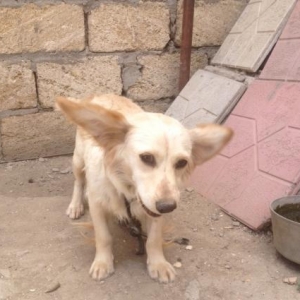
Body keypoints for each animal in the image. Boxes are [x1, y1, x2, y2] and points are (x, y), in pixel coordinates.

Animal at [56, 95, 234, 284]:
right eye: (147, 157)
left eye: (182, 162)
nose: (167, 207)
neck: (125, 187)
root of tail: (103, 95)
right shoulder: (97, 203)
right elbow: (103, 237)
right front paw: (102, 263)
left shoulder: (154, 210)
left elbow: (153, 240)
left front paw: (158, 264)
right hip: (78, 161)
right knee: (78, 182)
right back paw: (75, 206)